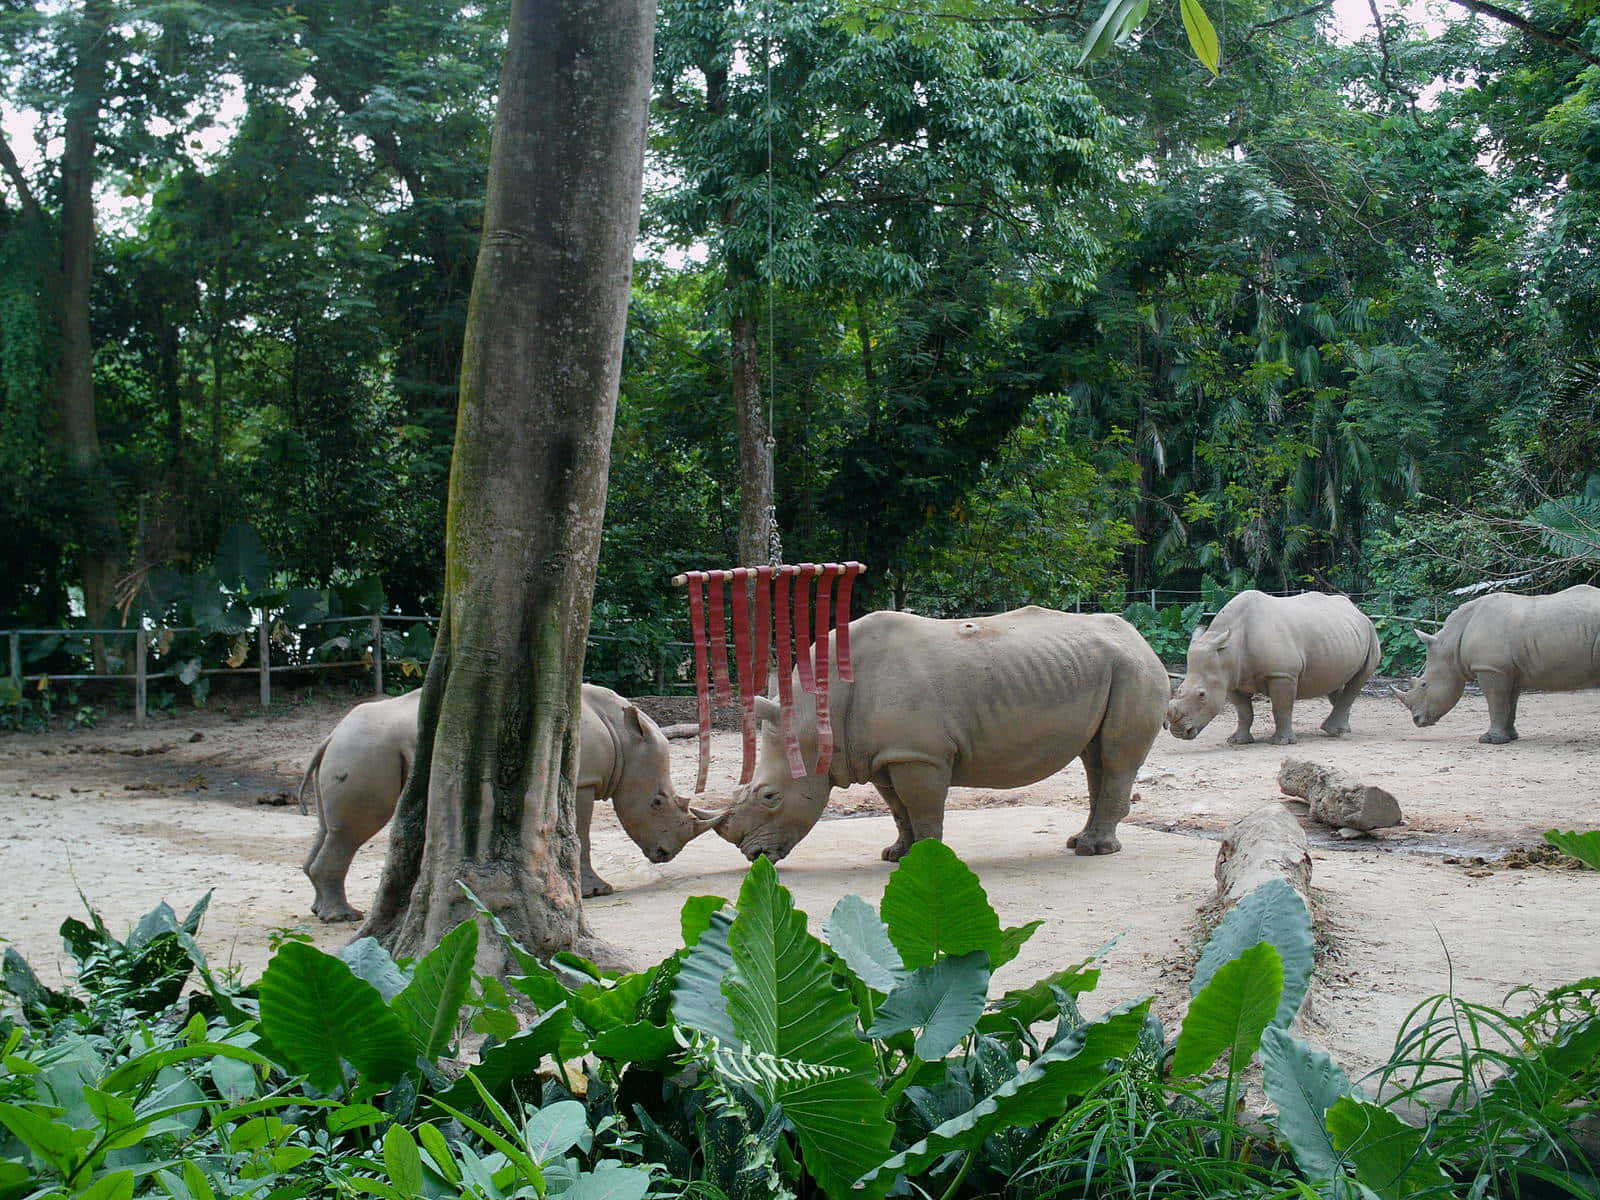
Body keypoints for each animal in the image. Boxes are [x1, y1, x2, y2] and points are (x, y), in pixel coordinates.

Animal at [299, 683, 721, 921]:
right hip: (366, 751)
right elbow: (580, 836)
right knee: (350, 833)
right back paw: (342, 917)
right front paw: (595, 893)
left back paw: (323, 910)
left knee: (327, 829)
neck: (621, 735)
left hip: (356, 749)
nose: (665, 855)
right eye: (657, 802)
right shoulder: (582, 781)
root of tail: (331, 735)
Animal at [710, 606, 1169, 864]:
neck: (813, 718)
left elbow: (923, 808)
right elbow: (898, 809)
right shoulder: (883, 756)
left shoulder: (918, 754)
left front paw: (926, 859)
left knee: (1115, 758)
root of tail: (1140, 638)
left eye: (770, 797)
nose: (752, 855)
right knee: (1095, 758)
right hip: (1108, 667)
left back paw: (1095, 851)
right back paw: (1078, 842)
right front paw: (896, 855)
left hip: (1135, 670)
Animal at [1166, 591, 1380, 746]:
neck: (1227, 653)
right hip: (1340, 634)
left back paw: (1334, 731)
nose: (1177, 732)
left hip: (1371, 629)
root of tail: (1357, 610)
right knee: (1336, 680)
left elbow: (1281, 708)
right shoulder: (1231, 679)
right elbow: (1244, 712)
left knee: (1359, 677)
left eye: (1202, 695)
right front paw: (1238, 741)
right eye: (1179, 689)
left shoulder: (1282, 674)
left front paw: (1282, 742)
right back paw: (1343, 729)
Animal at [1392, 584, 1600, 743]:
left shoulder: (1490, 668)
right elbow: (1509, 703)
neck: (1450, 645)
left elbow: (1495, 702)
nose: (1416, 720)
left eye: (1424, 684)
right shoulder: (1508, 670)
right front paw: (1511, 737)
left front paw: (1489, 740)